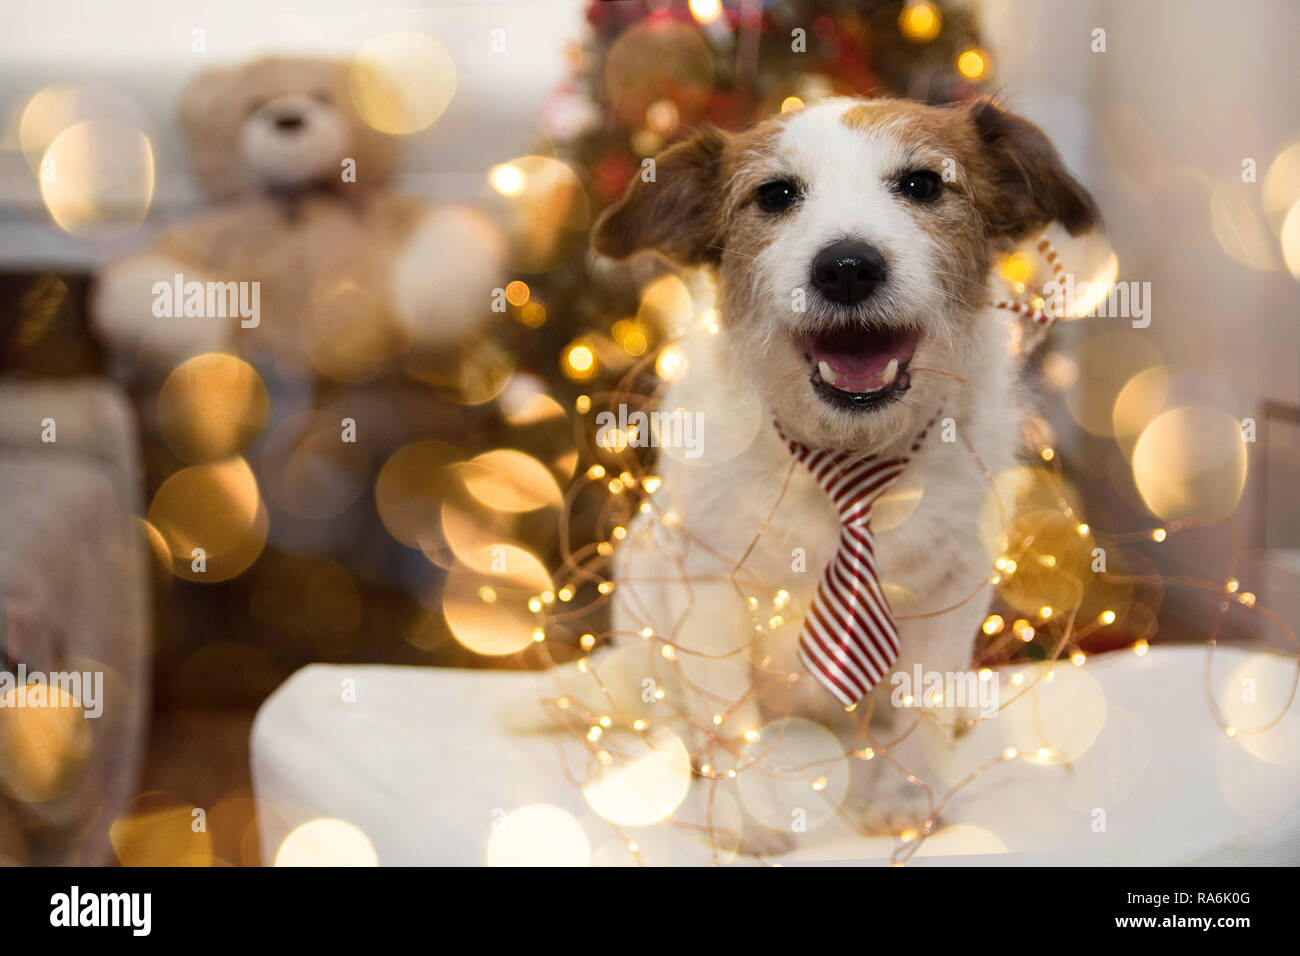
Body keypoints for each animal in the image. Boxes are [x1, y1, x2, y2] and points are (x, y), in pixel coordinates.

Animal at [504, 97, 1097, 858]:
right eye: (776, 195)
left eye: (923, 184)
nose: (846, 267)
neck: (848, 457)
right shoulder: (709, 592)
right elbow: (731, 718)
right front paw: (753, 817)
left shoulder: (953, 590)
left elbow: (919, 711)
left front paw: (901, 799)